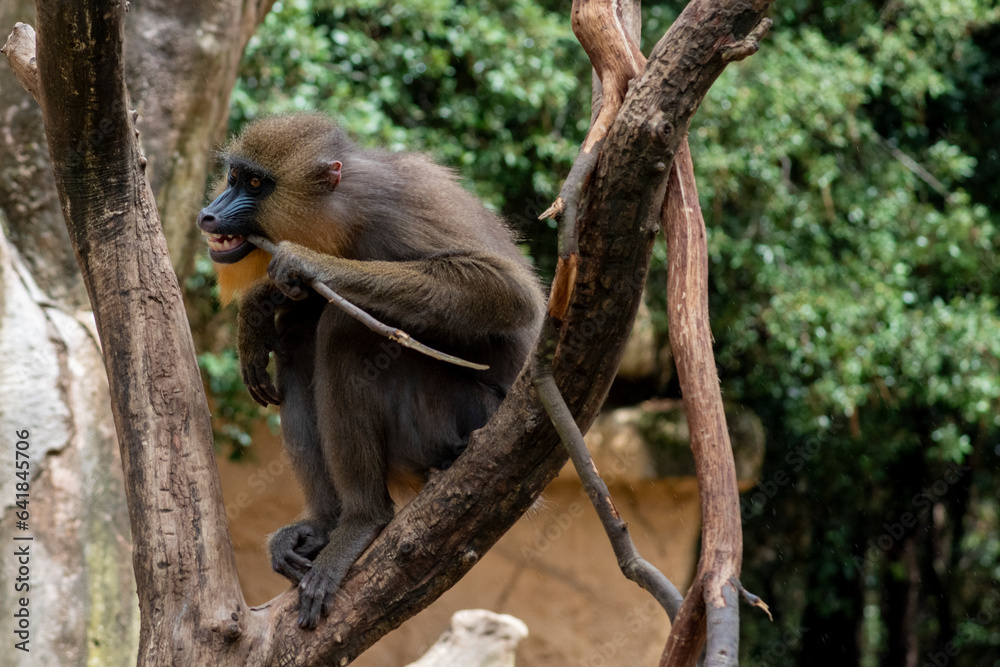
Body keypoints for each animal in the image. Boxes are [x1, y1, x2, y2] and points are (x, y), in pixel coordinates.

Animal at [197, 113, 544, 629]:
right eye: (235, 176)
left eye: (256, 184)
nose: (209, 214)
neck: (343, 210)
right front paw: (255, 312)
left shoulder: (400, 210)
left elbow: (509, 291)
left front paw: (304, 264)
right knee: (300, 335)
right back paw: (322, 525)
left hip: (454, 416)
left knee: (344, 329)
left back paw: (363, 520)